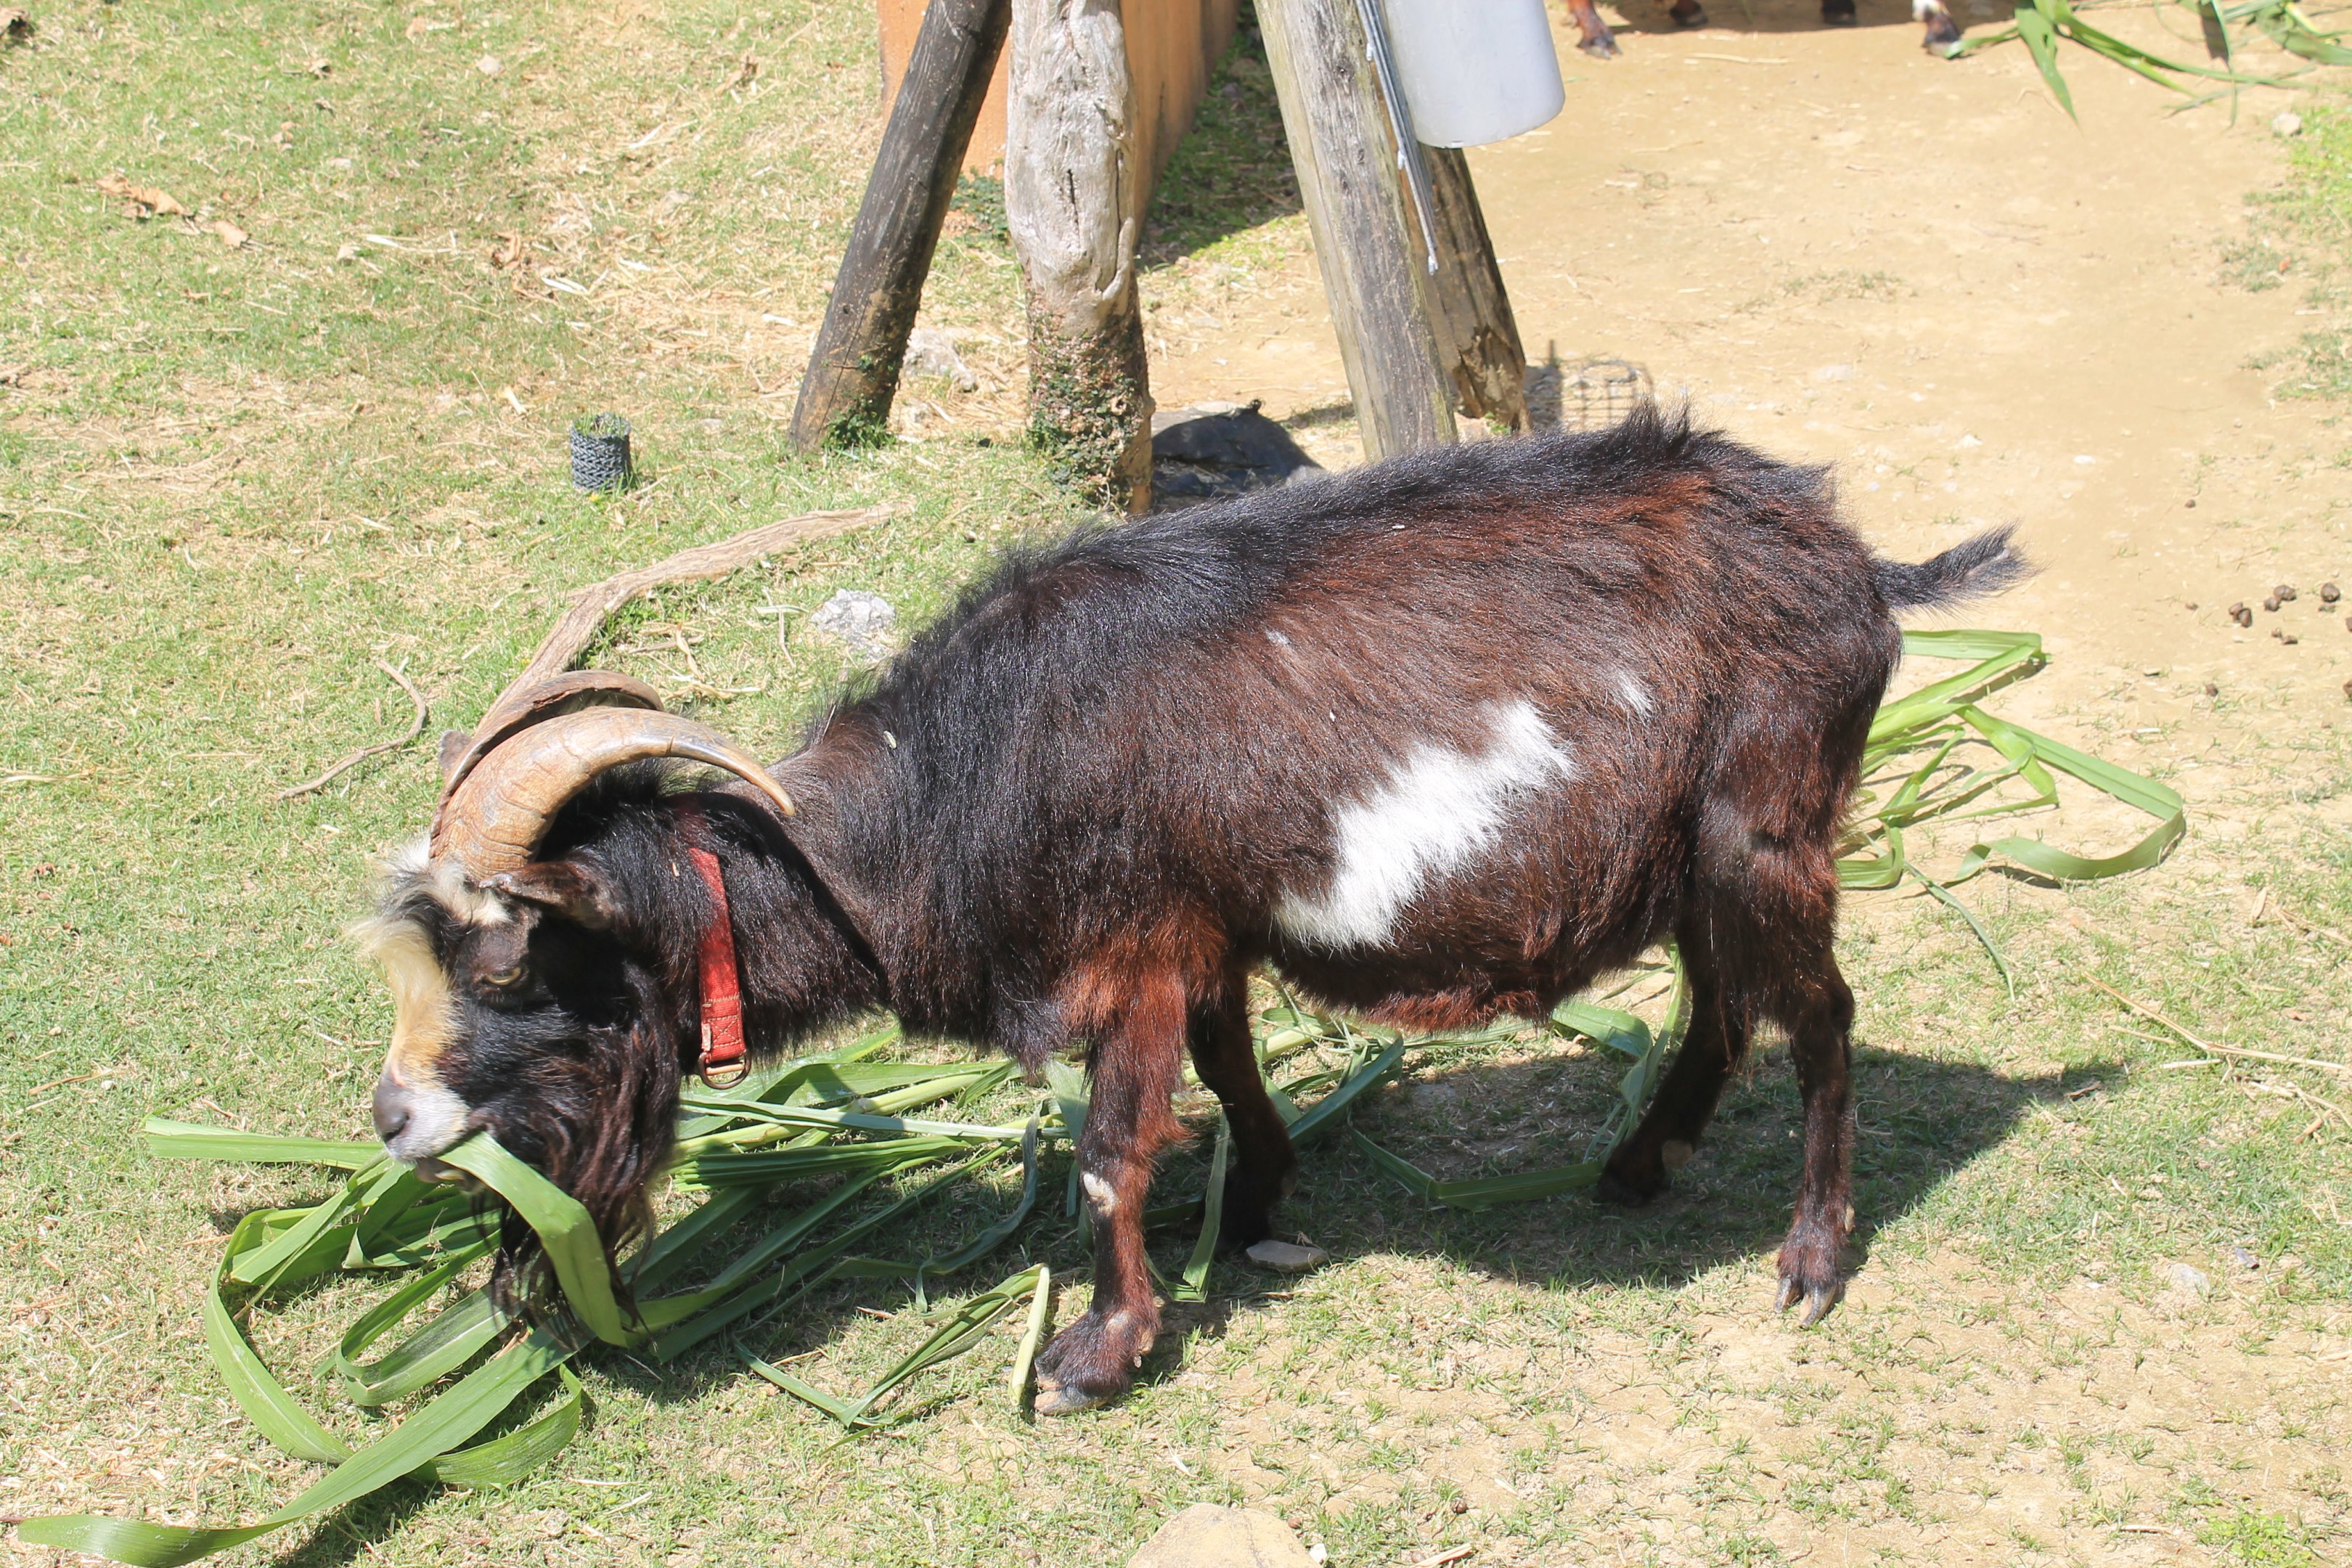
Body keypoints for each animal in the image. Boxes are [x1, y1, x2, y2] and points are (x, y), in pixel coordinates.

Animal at [361, 409, 2024, 1415]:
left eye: (511, 957)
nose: (387, 1117)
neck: (953, 786)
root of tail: (1863, 564)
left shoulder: (1131, 951)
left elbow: (1111, 1151)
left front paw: (1096, 1354)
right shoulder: (1202, 934)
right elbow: (1225, 1074)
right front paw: (1263, 1204)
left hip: (1764, 831)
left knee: (1823, 1021)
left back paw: (1810, 1262)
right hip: (1692, 857)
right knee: (1726, 1003)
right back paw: (1639, 1163)